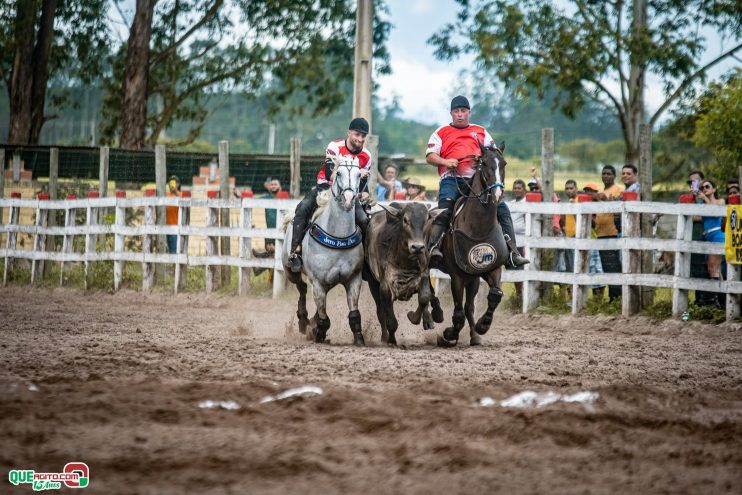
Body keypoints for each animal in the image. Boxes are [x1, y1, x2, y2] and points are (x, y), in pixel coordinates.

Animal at [284, 157, 368, 346]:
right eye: (338, 173)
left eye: (359, 175)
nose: (349, 199)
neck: (338, 236)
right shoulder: (318, 283)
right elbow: (324, 317)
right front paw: (319, 334)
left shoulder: (354, 279)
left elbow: (354, 314)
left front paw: (359, 339)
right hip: (289, 270)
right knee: (301, 287)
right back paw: (303, 320)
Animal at [364, 202, 444, 344]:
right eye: (405, 220)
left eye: (426, 221)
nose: (417, 247)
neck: (405, 261)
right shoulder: (385, 288)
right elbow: (391, 321)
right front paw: (391, 340)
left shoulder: (423, 275)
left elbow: (425, 297)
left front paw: (414, 316)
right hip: (372, 282)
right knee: (380, 312)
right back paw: (384, 338)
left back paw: (430, 319)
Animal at [436, 141, 512, 346]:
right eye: (484, 163)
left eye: (504, 163)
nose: (497, 193)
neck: (478, 227)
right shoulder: (456, 275)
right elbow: (458, 313)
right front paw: (449, 334)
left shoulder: (491, 268)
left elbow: (495, 295)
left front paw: (483, 325)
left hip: (473, 278)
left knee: (469, 306)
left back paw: (475, 335)